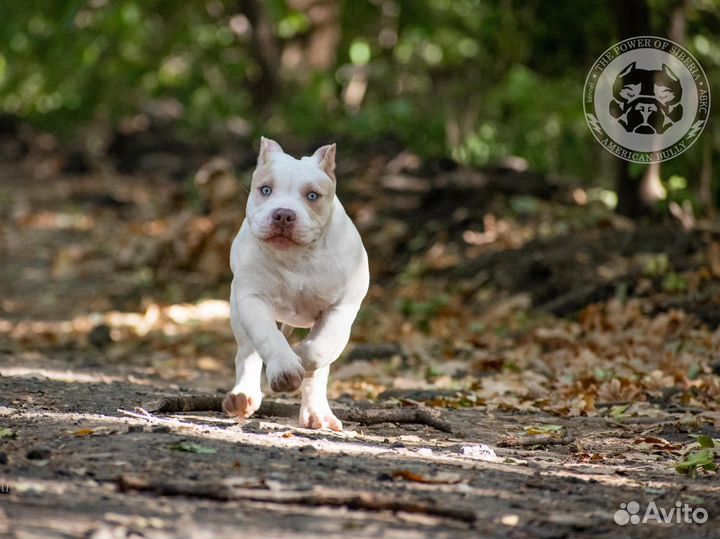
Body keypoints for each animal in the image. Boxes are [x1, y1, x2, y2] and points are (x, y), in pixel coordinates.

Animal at [224, 138, 372, 430]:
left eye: (312, 196)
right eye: (265, 190)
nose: (283, 214)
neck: (298, 258)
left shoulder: (340, 308)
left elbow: (319, 349)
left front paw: (300, 355)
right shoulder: (252, 299)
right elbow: (267, 337)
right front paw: (285, 365)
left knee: (321, 367)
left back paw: (317, 413)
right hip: (237, 310)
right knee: (247, 351)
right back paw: (243, 396)